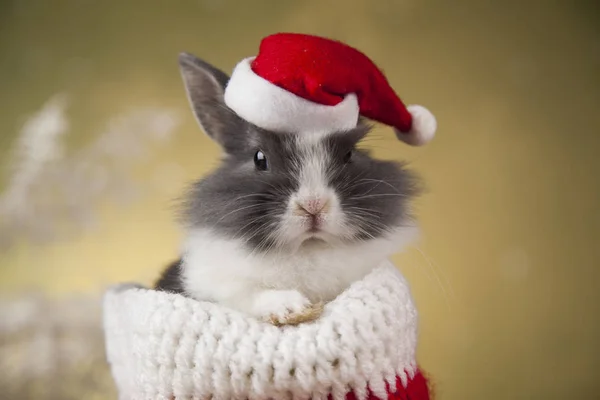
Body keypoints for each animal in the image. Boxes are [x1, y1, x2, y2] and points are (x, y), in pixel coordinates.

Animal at [155, 53, 422, 326]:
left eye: (349, 154)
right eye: (259, 158)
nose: (313, 205)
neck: (307, 247)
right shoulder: (214, 283)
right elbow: (250, 294)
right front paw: (291, 307)